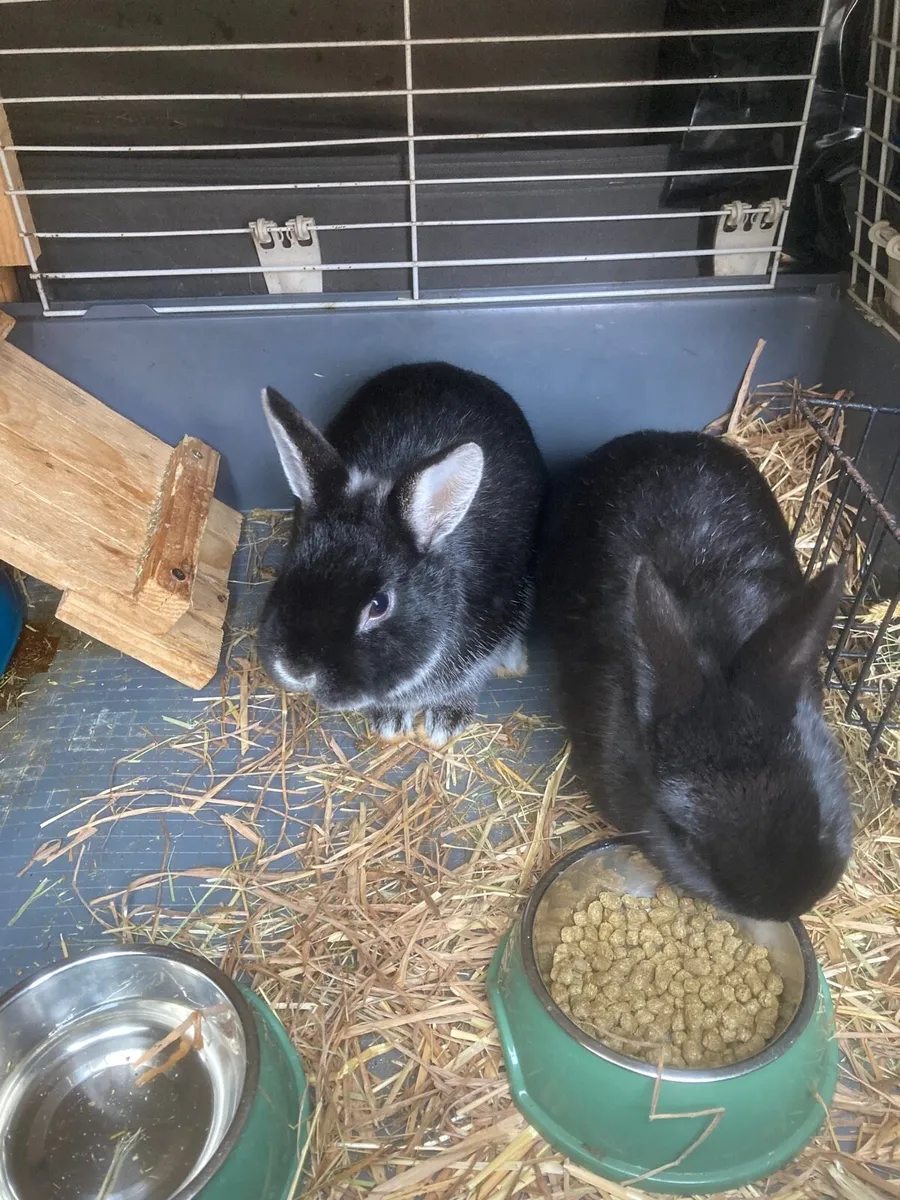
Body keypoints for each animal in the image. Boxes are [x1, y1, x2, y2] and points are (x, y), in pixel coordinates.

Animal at [258, 361, 546, 746]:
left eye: (379, 606)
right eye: (291, 566)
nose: (297, 669)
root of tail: (451, 369)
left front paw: (445, 722)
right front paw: (391, 720)